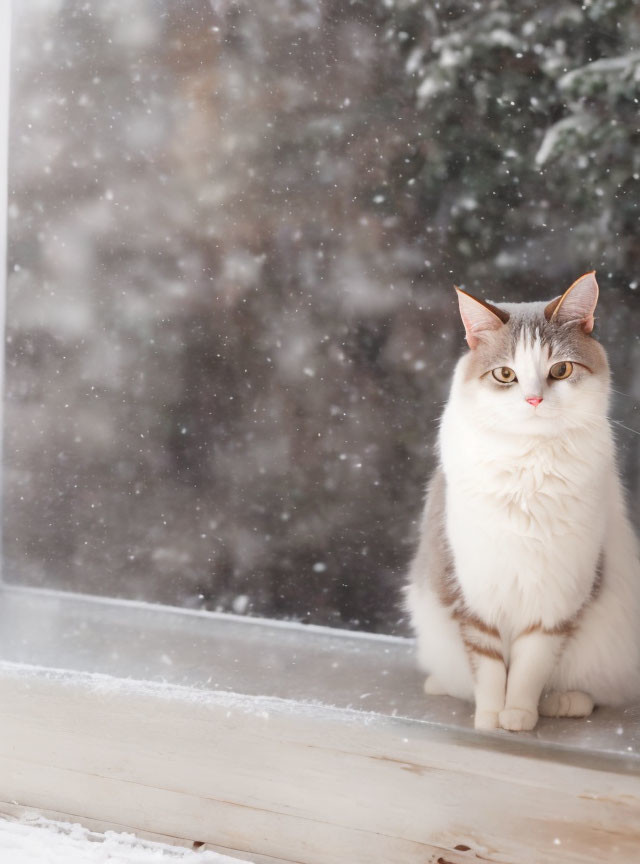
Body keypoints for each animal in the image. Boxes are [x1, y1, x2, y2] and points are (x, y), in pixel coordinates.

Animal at [404, 270, 640, 728]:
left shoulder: (556, 601)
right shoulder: (475, 594)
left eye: (561, 370)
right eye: (505, 375)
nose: (533, 399)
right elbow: (488, 667)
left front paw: (517, 717)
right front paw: (489, 719)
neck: (530, 464)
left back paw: (563, 702)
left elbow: (530, 669)